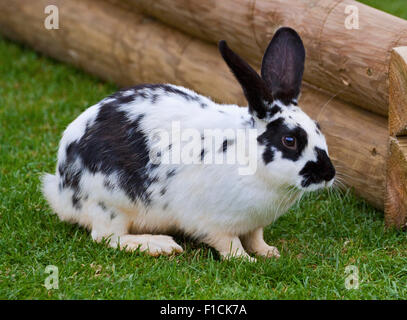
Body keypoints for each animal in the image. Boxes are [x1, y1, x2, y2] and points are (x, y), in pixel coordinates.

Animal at [41, 27, 336, 262]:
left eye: (319, 128)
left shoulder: (254, 225)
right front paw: (245, 260)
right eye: (290, 140)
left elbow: (255, 237)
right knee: (107, 238)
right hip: (110, 205)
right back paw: (159, 245)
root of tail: (61, 188)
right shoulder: (211, 222)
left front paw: (268, 252)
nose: (328, 174)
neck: (248, 157)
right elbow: (229, 244)